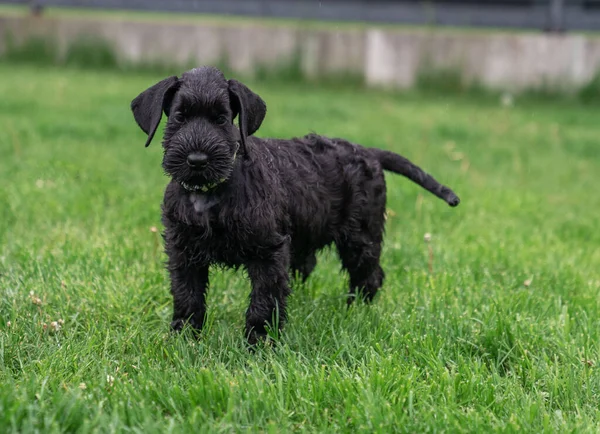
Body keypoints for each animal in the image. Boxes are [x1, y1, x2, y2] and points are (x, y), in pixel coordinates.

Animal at [131, 66, 460, 344]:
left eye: (221, 119)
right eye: (179, 117)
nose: (197, 160)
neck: (211, 194)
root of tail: (370, 152)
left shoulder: (268, 252)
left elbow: (264, 300)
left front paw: (259, 345)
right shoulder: (183, 251)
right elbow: (188, 297)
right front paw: (184, 340)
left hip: (361, 236)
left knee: (369, 275)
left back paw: (356, 313)